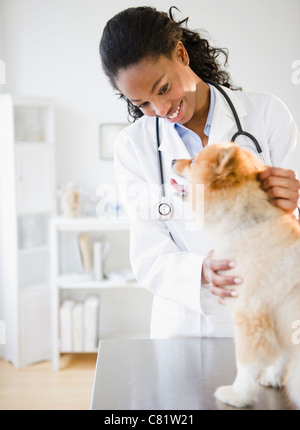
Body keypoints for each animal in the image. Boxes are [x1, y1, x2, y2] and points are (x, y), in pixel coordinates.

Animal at [173, 143, 300, 408]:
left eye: (193, 161)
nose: (171, 160)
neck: (246, 225)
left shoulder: (250, 314)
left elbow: (245, 363)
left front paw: (238, 394)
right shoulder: (276, 318)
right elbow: (280, 355)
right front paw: (272, 376)